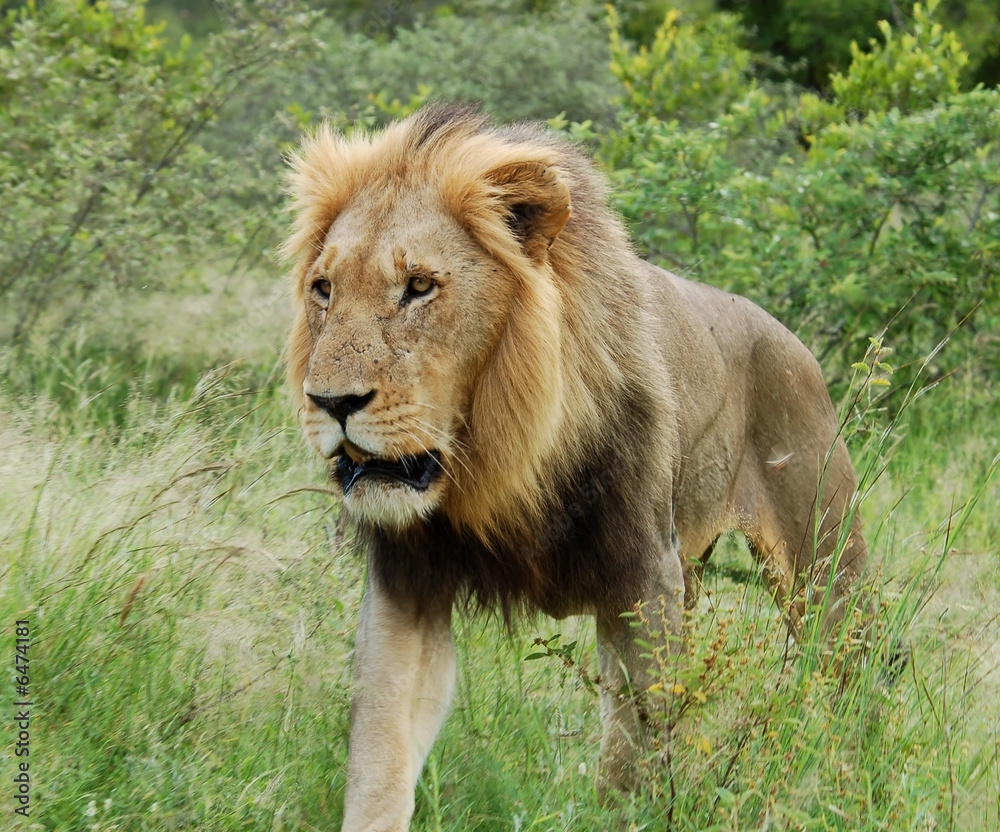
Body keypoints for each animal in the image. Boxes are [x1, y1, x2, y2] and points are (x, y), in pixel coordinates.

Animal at [284, 104, 868, 832]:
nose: (331, 403)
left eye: (419, 287)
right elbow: (379, 750)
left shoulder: (642, 579)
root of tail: (797, 344)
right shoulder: (407, 585)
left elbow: (633, 754)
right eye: (324, 289)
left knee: (856, 682)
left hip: (825, 572)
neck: (497, 461)